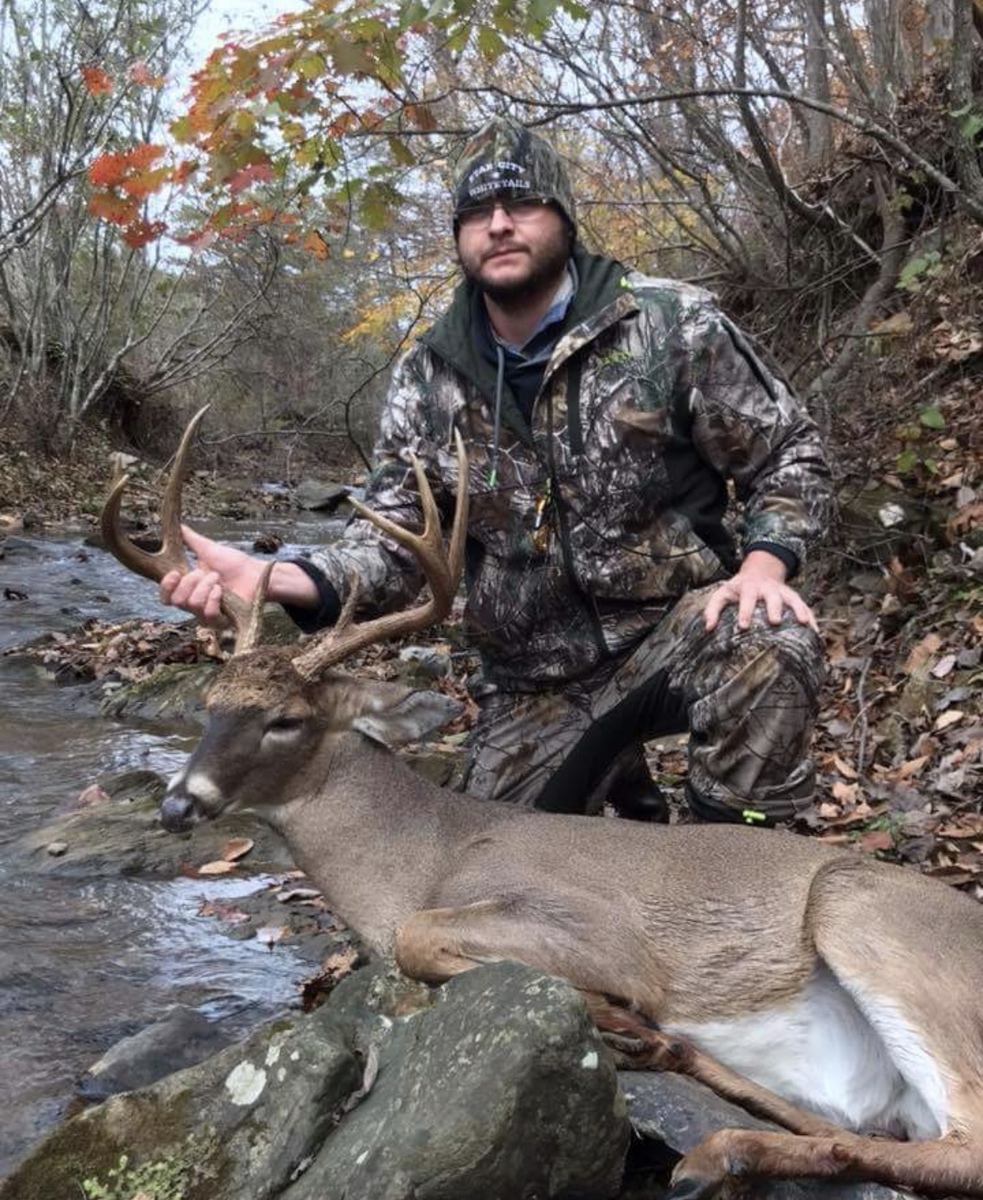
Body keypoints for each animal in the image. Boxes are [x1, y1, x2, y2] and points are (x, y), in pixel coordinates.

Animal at [101, 406, 983, 1200]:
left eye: (285, 720)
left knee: (960, 1148)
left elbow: (422, 939)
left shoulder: (596, 929)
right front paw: (631, 1031)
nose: (178, 805)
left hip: (868, 915)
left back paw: (703, 1134)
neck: (429, 854)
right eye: (209, 704)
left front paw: (615, 1010)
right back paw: (688, 1092)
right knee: (878, 1133)